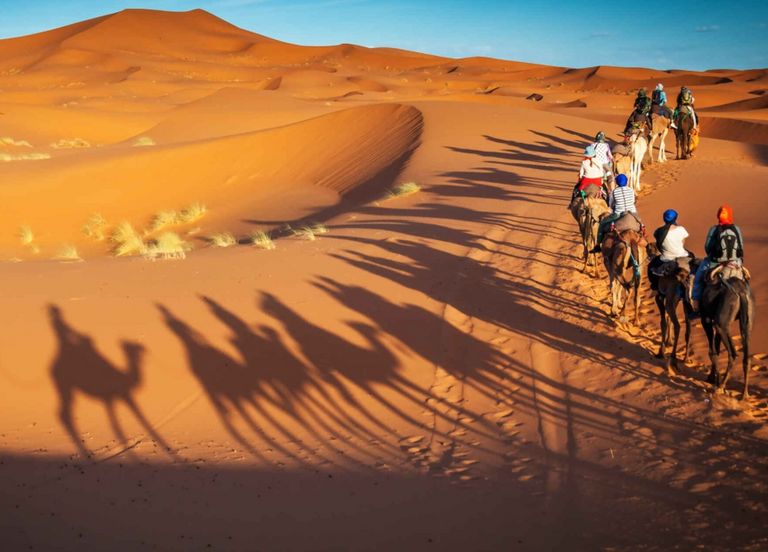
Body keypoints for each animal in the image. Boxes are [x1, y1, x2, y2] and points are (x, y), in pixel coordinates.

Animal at [704, 266, 756, 398]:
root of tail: (741, 293)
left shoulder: (706, 319)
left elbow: (712, 351)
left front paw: (714, 380)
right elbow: (716, 349)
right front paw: (712, 377)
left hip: (721, 323)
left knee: (733, 353)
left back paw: (721, 386)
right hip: (748, 321)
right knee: (746, 357)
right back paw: (744, 394)